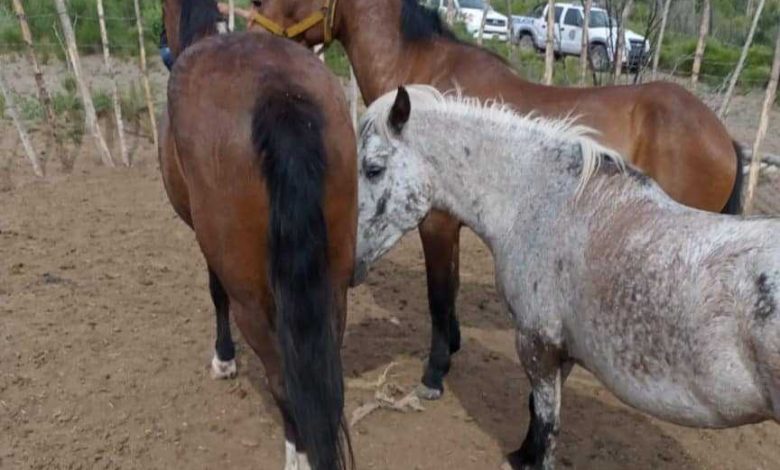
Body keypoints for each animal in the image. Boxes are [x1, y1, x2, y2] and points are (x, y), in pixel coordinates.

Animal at [158, 1, 357, 468]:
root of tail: (277, 93)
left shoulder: (207, 244)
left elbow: (214, 291)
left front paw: (224, 359)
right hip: (334, 284)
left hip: (251, 297)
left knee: (283, 382)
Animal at [249, 0, 746, 399]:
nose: (253, 39)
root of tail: (724, 136)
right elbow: (448, 289)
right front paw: (451, 347)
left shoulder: (436, 222)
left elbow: (439, 293)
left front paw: (434, 373)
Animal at [353, 85, 779, 469]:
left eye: (373, 169)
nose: (350, 262)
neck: (547, 203)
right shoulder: (563, 350)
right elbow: (537, 408)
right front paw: (521, 456)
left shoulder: (536, 343)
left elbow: (547, 425)